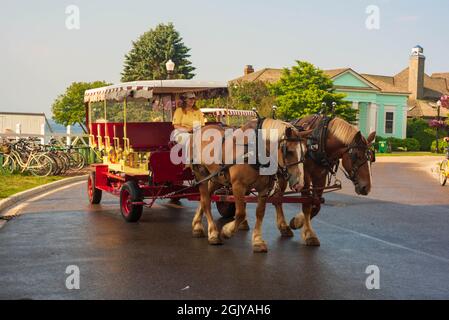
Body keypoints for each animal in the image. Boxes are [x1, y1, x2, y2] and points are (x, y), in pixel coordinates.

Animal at [190, 118, 312, 252]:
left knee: (204, 198)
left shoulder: (264, 188)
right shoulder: (238, 186)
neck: (254, 151)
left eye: (306, 151)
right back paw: (212, 233)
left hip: (216, 177)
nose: (299, 184)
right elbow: (240, 213)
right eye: (289, 151)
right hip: (201, 174)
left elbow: (260, 213)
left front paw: (257, 240)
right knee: (206, 201)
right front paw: (227, 231)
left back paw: (197, 225)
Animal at [270, 116, 374, 246]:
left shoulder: (320, 176)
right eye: (356, 155)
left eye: (371, 159)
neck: (318, 142)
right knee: (277, 198)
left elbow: (316, 204)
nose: (366, 187)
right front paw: (309, 234)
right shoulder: (304, 176)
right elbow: (307, 204)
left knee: (277, 197)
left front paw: (297, 221)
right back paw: (282, 227)